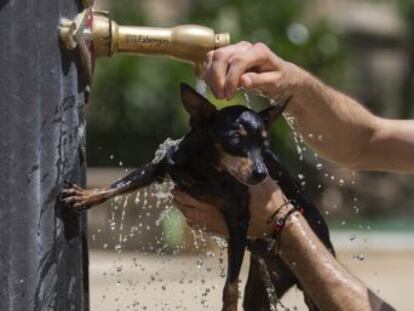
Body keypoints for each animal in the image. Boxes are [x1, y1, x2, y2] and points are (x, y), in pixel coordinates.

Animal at [60, 83, 334, 311]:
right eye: (235, 139)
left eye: (264, 145)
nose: (260, 174)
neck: (206, 169)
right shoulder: (160, 169)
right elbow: (119, 185)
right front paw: (86, 196)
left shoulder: (239, 222)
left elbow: (230, 286)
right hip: (264, 285)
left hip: (311, 287)